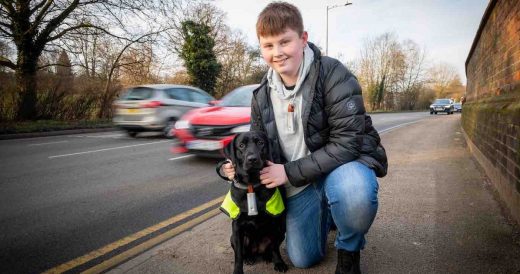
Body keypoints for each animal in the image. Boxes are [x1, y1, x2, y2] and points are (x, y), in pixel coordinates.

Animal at [216, 131, 286, 274]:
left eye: (260, 143)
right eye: (241, 145)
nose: (252, 159)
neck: (251, 185)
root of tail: (257, 251)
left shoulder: (274, 223)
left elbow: (275, 247)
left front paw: (279, 262)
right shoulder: (237, 228)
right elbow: (238, 255)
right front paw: (238, 271)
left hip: (281, 231)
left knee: (270, 248)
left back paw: (267, 256)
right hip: (233, 238)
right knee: (245, 252)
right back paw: (249, 258)